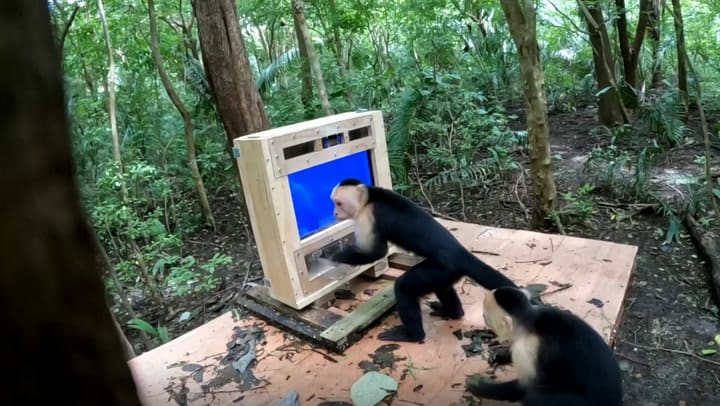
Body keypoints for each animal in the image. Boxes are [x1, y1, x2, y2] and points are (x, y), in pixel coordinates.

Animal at [327, 178, 520, 342]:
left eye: (339, 203)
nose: (335, 213)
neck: (370, 197)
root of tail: (460, 252)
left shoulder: (366, 216)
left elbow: (376, 253)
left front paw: (332, 257)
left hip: (442, 268)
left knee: (404, 287)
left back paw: (413, 335)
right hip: (447, 273)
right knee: (442, 288)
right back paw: (453, 313)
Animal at [466, 287, 624, 406]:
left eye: (485, 316)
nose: (484, 321)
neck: (529, 324)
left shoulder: (524, 350)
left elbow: (523, 387)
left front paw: (479, 388)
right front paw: (501, 355)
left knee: (534, 396)